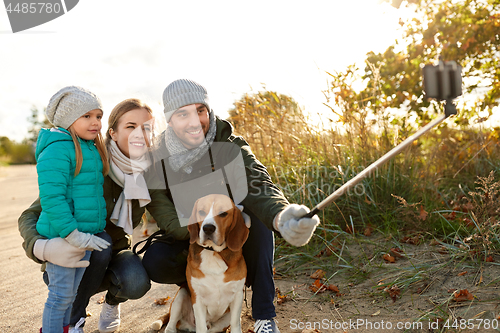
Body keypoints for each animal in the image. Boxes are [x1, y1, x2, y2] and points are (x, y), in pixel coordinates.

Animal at [148, 193, 250, 330]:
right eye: (201, 212)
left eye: (223, 213)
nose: (208, 228)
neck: (213, 252)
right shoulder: (197, 298)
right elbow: (201, 326)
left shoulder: (238, 295)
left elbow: (235, 324)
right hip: (181, 296)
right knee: (171, 325)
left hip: (222, 322)